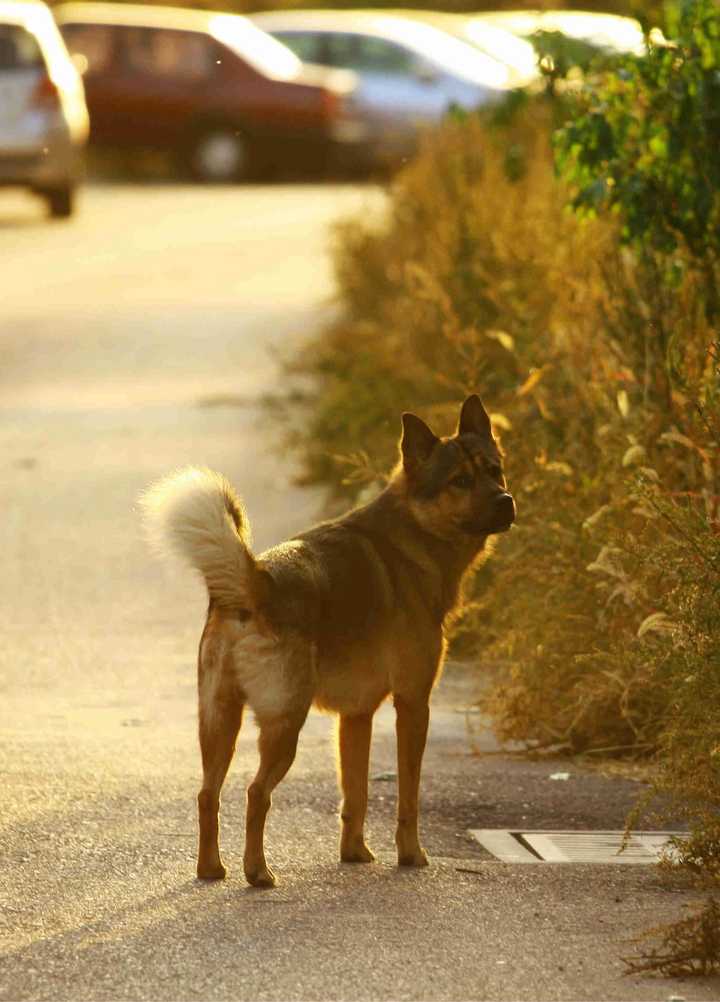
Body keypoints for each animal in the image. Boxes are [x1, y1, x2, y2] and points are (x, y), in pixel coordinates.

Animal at [141, 394, 512, 889]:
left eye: (495, 470)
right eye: (460, 481)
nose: (507, 503)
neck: (412, 532)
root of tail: (256, 583)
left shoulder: (355, 717)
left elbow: (355, 794)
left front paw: (354, 854)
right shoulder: (413, 705)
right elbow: (407, 796)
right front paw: (411, 855)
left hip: (220, 721)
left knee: (207, 794)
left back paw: (211, 869)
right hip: (285, 724)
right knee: (255, 793)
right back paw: (258, 872)